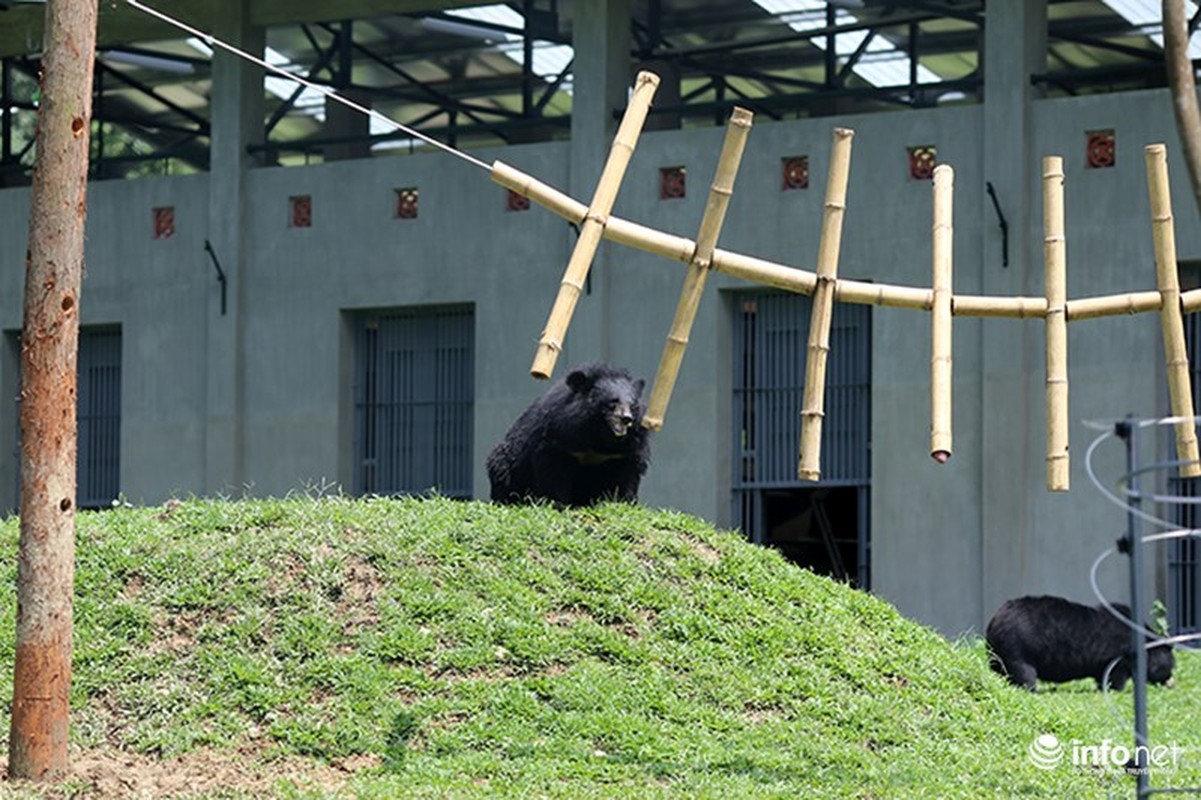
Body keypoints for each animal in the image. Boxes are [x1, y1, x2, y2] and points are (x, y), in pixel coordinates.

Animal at [485, 360, 653, 504]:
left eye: (633, 405)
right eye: (612, 402)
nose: (626, 419)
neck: (599, 435)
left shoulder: (625, 449)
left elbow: (627, 473)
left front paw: (623, 501)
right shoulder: (559, 437)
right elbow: (553, 470)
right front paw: (556, 502)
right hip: (507, 461)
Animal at [984, 590, 1172, 691]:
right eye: (1170, 666)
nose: (1171, 681)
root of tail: (994, 620)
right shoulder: (1117, 655)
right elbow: (1114, 674)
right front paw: (1113, 688)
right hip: (1019, 646)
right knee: (1023, 671)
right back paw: (1030, 688)